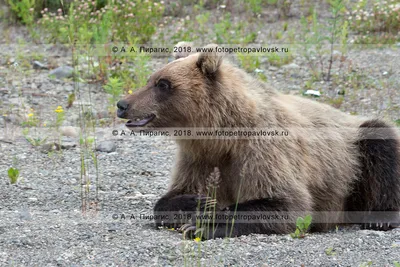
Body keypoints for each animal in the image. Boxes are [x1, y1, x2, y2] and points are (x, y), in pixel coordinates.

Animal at [117, 44, 400, 241]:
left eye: (163, 84)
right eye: (151, 79)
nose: (122, 104)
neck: (222, 135)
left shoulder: (263, 149)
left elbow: (287, 204)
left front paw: (202, 225)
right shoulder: (199, 156)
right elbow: (173, 196)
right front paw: (196, 202)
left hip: (354, 149)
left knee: (382, 144)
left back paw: (381, 217)